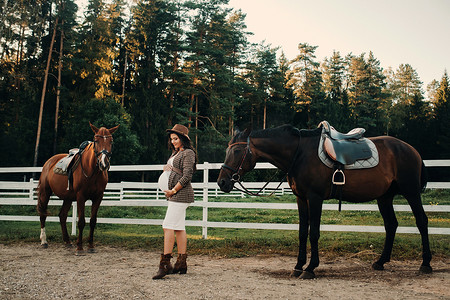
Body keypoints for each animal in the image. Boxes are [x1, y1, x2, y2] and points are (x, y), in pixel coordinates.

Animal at [37, 123, 118, 254]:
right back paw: (44, 241)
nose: (103, 164)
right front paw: (79, 247)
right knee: (43, 215)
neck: (92, 170)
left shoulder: (98, 197)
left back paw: (67, 241)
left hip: (68, 198)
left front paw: (91, 246)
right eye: (96, 141)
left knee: (62, 216)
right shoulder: (81, 196)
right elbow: (81, 222)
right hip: (45, 192)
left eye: (111, 141)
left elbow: (93, 221)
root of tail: (49, 162)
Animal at [218, 124, 432, 278]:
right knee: (391, 225)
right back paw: (380, 262)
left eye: (236, 152)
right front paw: (298, 266)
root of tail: (411, 150)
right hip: (384, 197)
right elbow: (302, 233)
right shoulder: (301, 199)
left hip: (411, 193)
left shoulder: (315, 198)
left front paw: (310, 268)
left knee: (422, 222)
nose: (222, 182)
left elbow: (314, 233)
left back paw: (425, 264)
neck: (299, 154)